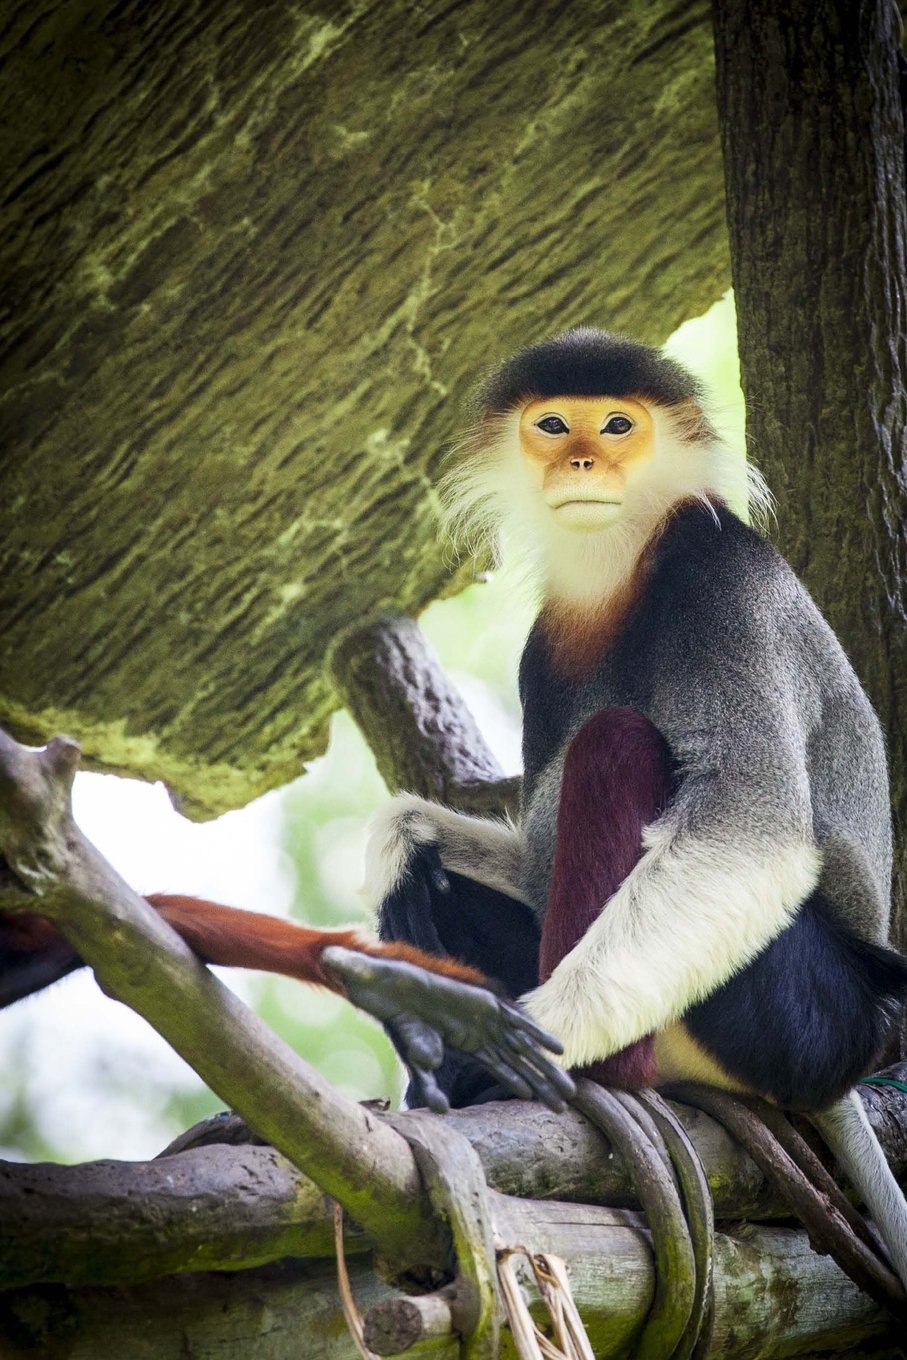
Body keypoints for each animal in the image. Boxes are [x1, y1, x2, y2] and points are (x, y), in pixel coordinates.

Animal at [371, 327, 907, 1285]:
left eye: (618, 425)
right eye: (553, 425)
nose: (582, 458)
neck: (621, 561)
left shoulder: (719, 575)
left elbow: (750, 831)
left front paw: (530, 1034)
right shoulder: (545, 641)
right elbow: (521, 862)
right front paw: (405, 839)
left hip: (802, 1020)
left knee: (616, 741)